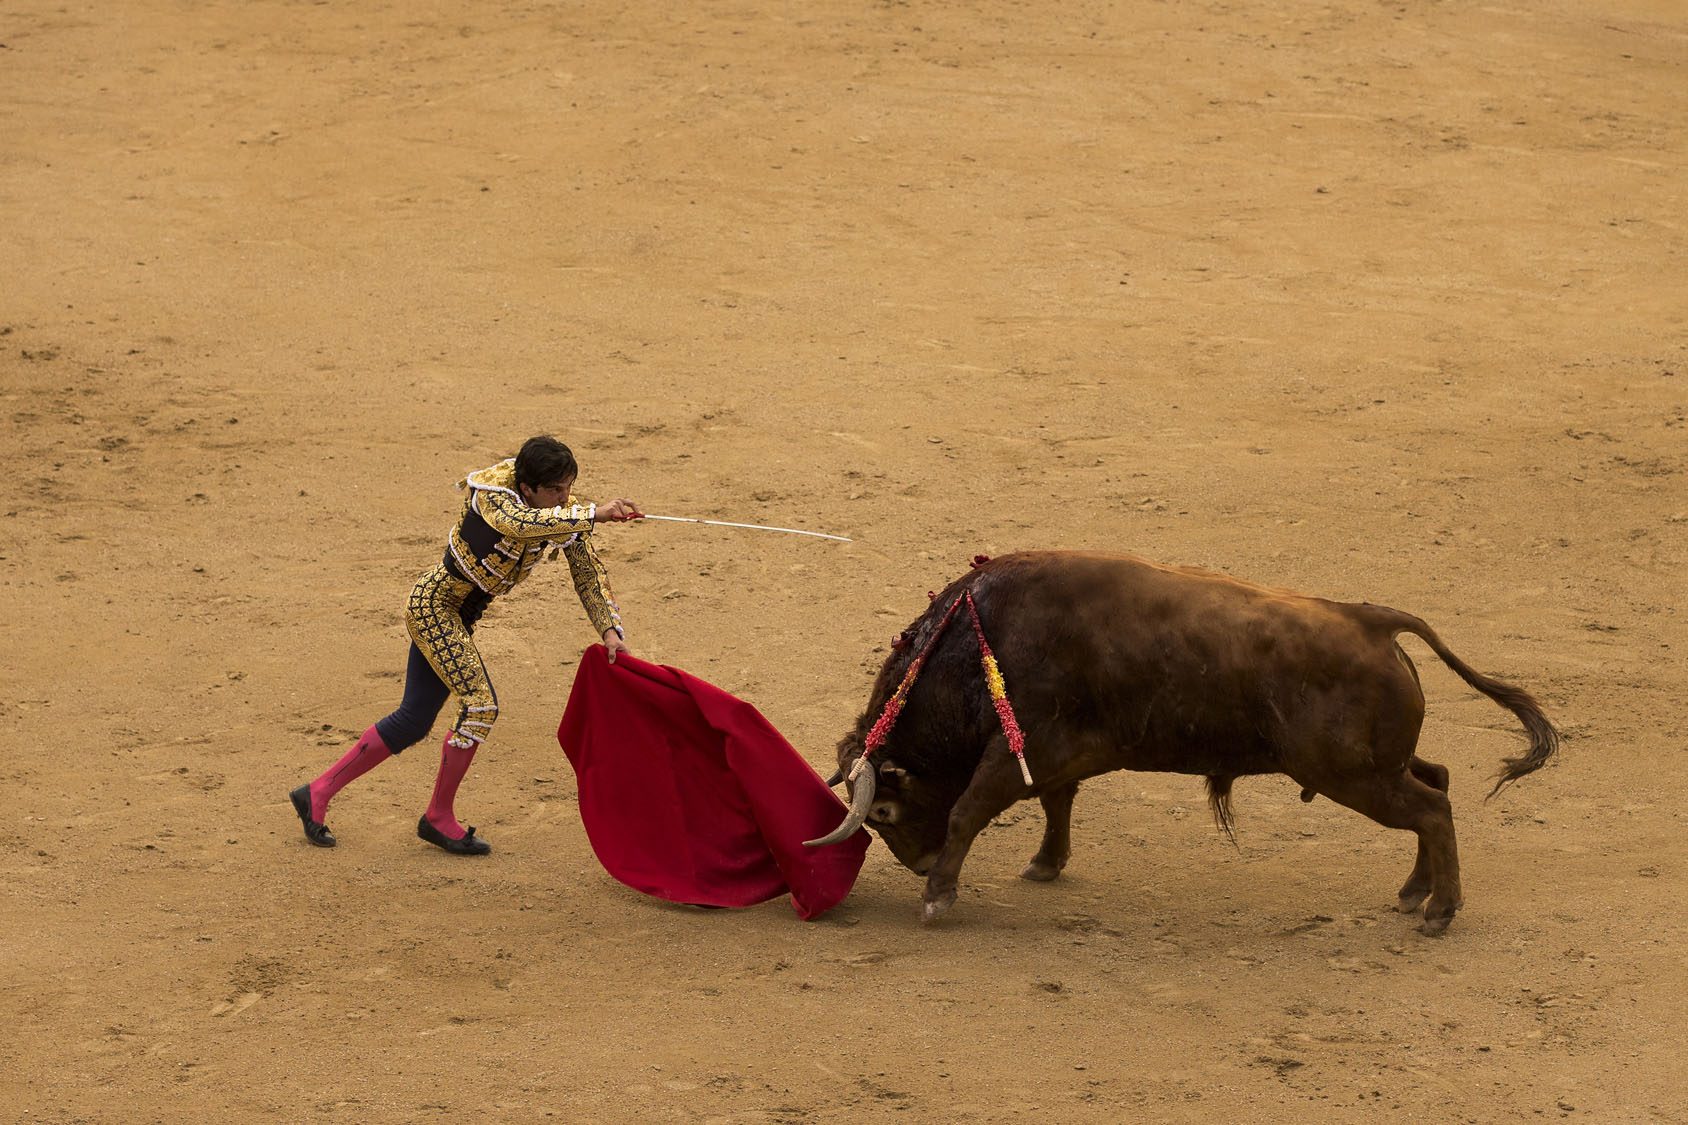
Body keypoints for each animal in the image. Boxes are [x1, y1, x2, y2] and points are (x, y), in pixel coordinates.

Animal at [810, 547, 1559, 932]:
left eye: (882, 811)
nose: (918, 863)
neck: (978, 643)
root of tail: (1375, 622)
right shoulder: (1056, 757)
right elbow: (1057, 802)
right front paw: (1046, 863)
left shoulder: (1022, 751)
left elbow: (969, 809)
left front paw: (939, 895)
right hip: (1376, 764)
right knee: (1438, 781)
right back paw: (1414, 891)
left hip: (1355, 774)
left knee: (1433, 809)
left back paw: (1439, 911)